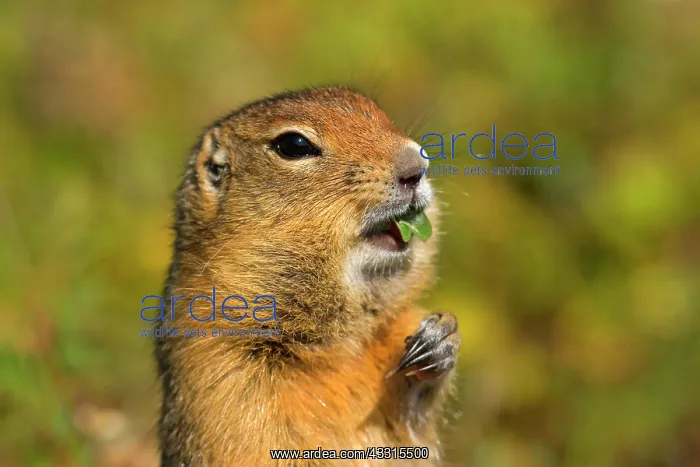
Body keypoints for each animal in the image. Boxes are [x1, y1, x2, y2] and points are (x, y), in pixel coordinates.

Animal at [155, 86, 460, 466]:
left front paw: (438, 338)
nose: (416, 166)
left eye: (373, 109)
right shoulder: (220, 366)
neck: (344, 343)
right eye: (294, 145)